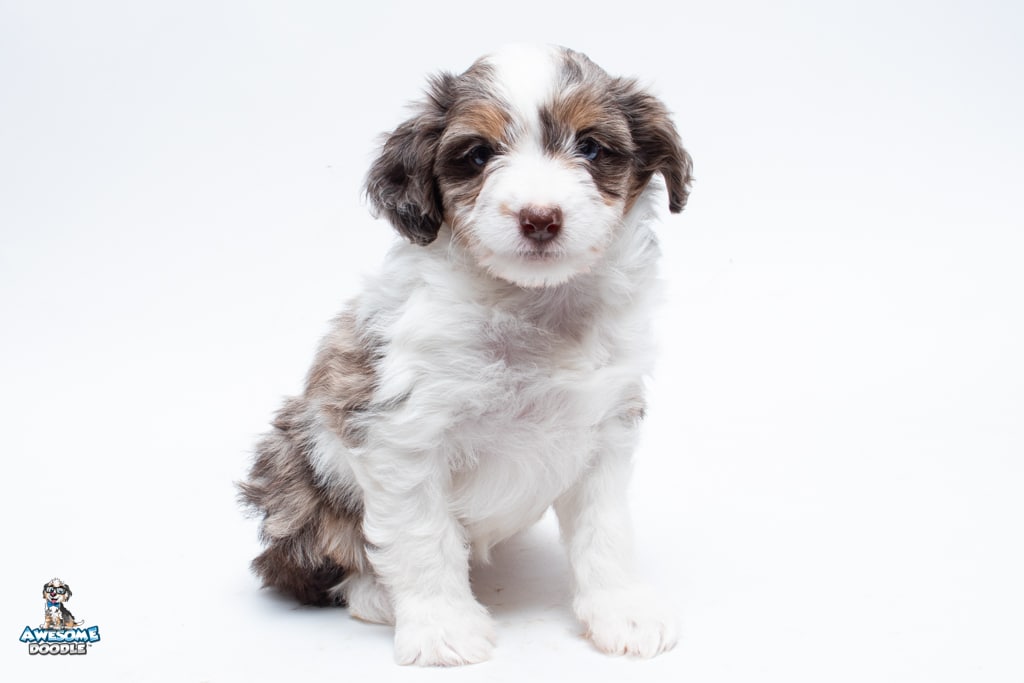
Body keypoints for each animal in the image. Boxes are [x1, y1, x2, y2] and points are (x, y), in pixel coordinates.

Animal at [240, 43, 693, 666]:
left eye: (591, 147)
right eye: (478, 155)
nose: (540, 218)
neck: (534, 307)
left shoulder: (607, 428)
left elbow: (606, 530)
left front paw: (622, 609)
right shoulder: (403, 435)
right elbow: (423, 539)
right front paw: (442, 627)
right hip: (295, 470)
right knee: (306, 564)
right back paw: (374, 595)